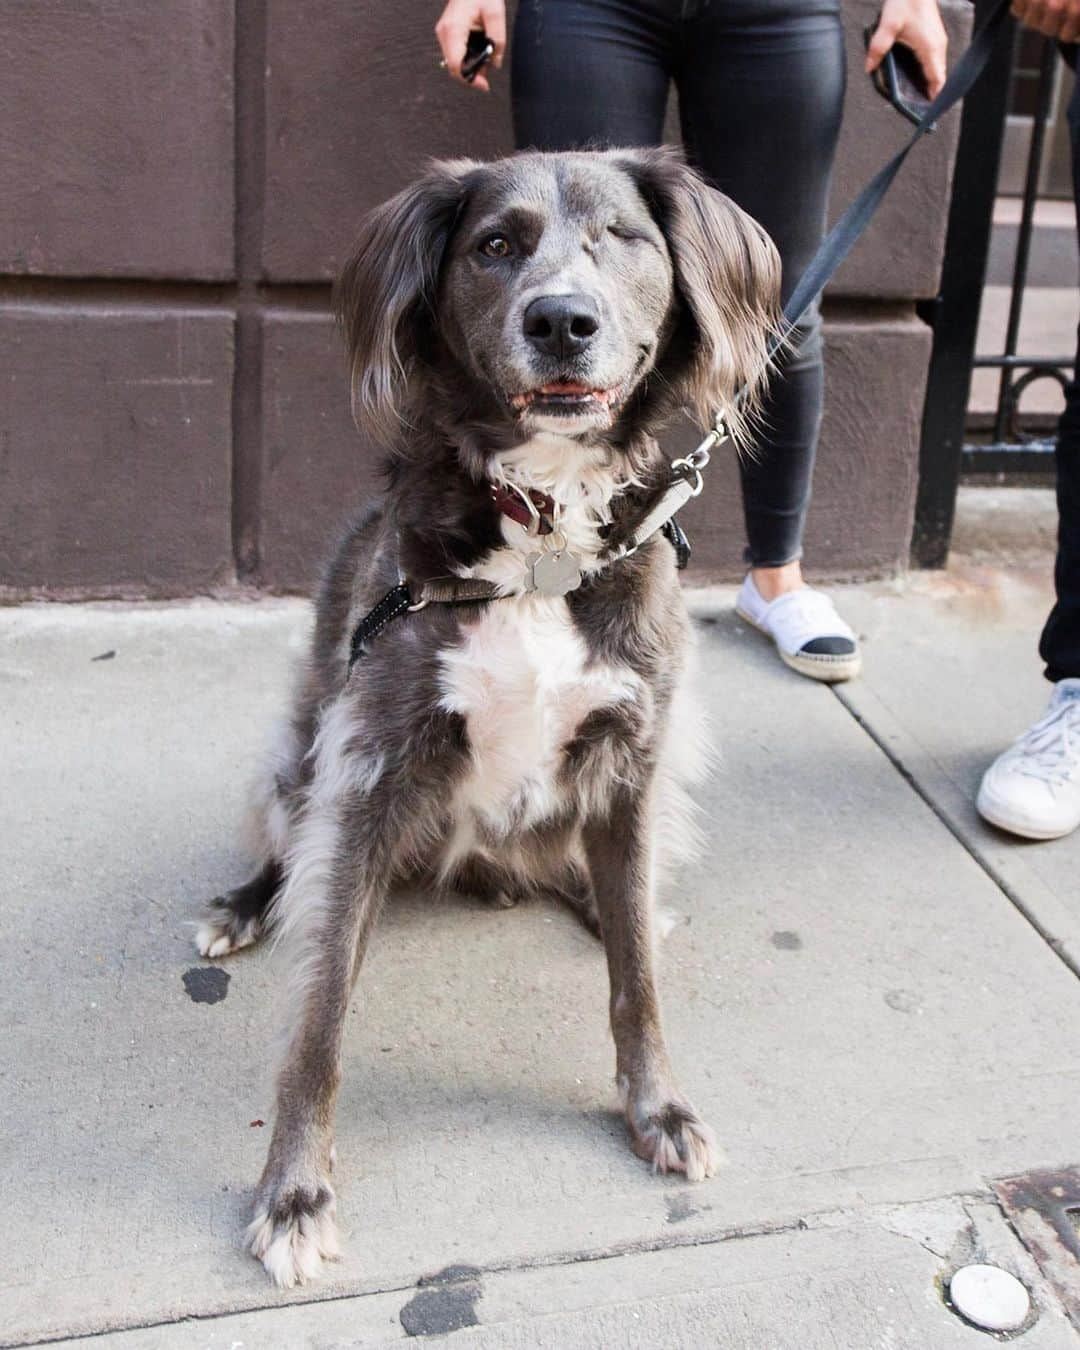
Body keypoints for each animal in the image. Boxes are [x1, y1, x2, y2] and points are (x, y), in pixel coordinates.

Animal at [198, 147, 783, 1285]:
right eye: (495, 245)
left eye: (622, 237)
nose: (561, 321)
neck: (546, 539)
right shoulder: (368, 773)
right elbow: (320, 1018)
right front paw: (293, 1195)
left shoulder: (636, 758)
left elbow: (637, 984)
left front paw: (659, 1108)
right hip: (303, 757)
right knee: (287, 852)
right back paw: (244, 905)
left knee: (611, 887)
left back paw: (603, 897)